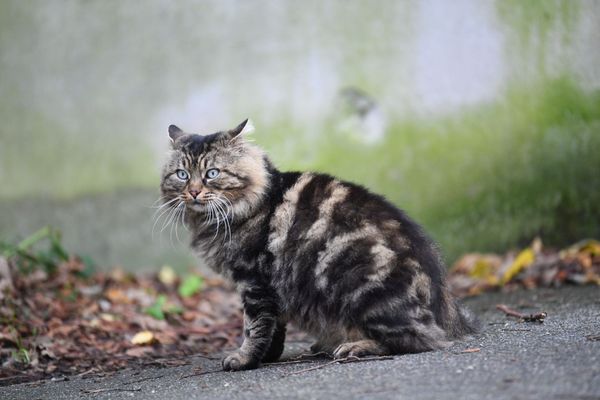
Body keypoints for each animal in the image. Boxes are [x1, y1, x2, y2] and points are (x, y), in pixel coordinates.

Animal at [159, 119, 478, 372]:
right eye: (182, 175)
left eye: (212, 173)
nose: (194, 192)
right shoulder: (271, 290)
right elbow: (275, 327)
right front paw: (269, 356)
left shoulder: (254, 282)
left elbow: (254, 328)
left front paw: (245, 359)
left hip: (357, 280)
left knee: (417, 339)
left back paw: (355, 346)